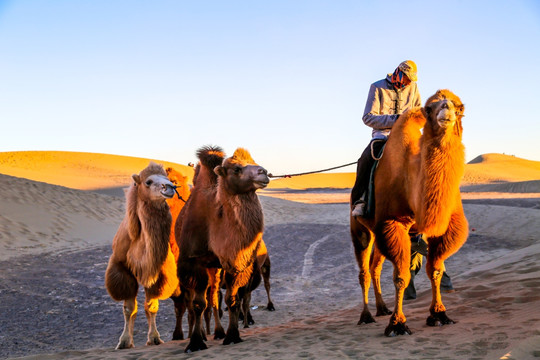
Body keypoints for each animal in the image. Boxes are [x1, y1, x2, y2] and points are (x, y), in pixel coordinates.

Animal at [105, 162, 179, 348]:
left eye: (168, 178)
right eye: (148, 181)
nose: (170, 187)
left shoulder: (157, 272)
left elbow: (151, 306)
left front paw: (154, 338)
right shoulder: (122, 268)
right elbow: (129, 308)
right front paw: (124, 341)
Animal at [174, 144, 268, 352]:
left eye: (254, 161)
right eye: (237, 169)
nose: (264, 172)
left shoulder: (234, 262)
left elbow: (231, 300)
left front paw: (232, 336)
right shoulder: (193, 261)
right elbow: (198, 304)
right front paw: (195, 342)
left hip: (215, 267)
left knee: (214, 297)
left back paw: (218, 332)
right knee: (200, 302)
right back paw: (203, 334)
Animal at [350, 88, 468, 336]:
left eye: (459, 107)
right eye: (429, 108)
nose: (446, 109)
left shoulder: (444, 227)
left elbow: (435, 270)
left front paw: (439, 314)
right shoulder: (391, 223)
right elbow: (401, 276)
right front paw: (397, 323)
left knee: (375, 267)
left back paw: (382, 308)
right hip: (360, 228)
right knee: (364, 271)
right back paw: (366, 316)